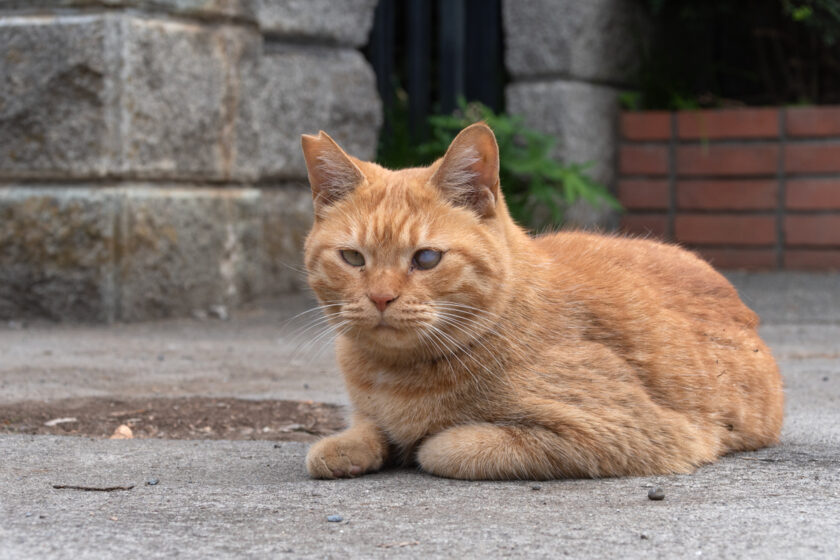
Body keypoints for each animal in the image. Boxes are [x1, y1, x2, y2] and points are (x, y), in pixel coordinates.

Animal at [300, 123, 780, 482]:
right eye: (352, 258)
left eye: (427, 259)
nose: (381, 297)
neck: (392, 376)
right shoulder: (368, 411)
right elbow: (363, 428)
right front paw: (346, 447)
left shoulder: (627, 432)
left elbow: (447, 446)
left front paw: (423, 441)